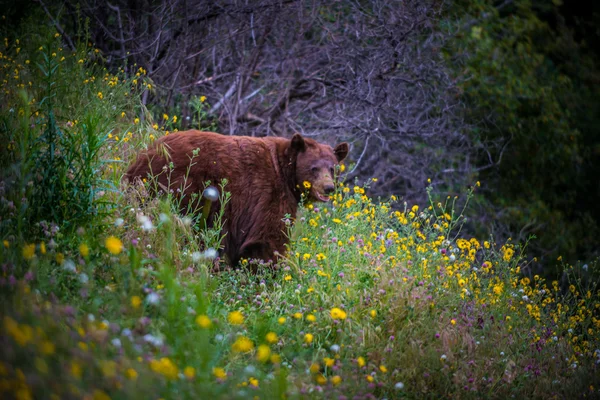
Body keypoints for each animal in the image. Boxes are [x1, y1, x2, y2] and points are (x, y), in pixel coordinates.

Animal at [125, 131, 352, 268]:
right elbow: (267, 238)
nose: (328, 188)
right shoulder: (268, 192)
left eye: (332, 168)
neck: (285, 172)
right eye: (313, 168)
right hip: (183, 189)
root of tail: (142, 158)